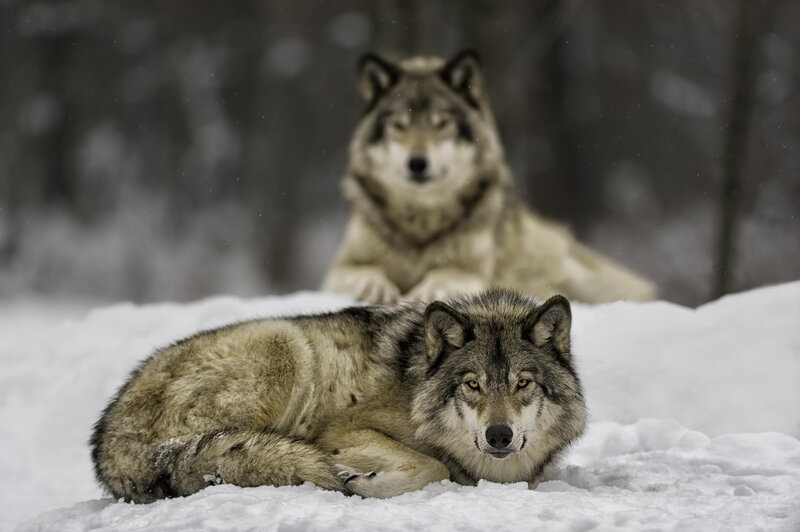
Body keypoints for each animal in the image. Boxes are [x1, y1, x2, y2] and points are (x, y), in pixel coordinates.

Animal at [90, 289, 586, 502]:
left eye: (522, 383)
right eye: (473, 385)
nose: (499, 435)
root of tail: (108, 442)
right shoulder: (343, 428)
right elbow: (433, 465)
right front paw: (359, 480)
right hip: (285, 344)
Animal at [324, 51, 656, 304]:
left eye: (441, 124)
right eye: (398, 125)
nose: (417, 163)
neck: (419, 226)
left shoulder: (474, 272)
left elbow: (444, 274)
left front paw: (426, 291)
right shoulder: (338, 270)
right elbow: (364, 272)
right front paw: (375, 287)